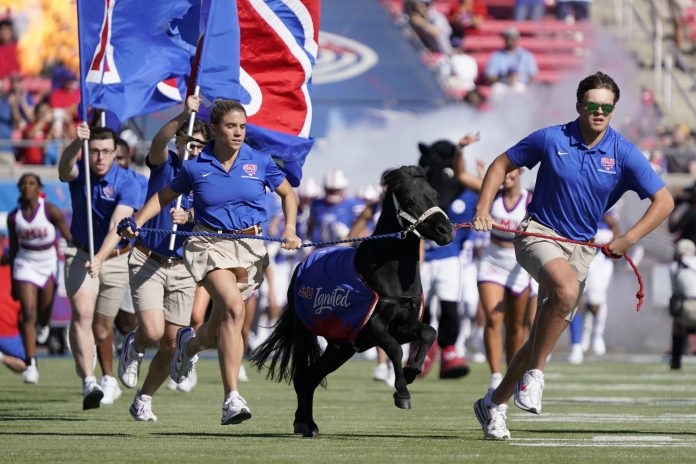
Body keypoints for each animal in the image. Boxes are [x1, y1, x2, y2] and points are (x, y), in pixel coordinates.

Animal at [253, 167, 454, 438]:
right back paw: (303, 423)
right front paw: (402, 391)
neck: (387, 274)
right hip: (304, 332)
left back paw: (310, 423)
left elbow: (429, 333)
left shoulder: (401, 327)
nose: (446, 230)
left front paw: (412, 371)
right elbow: (394, 348)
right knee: (301, 376)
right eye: (410, 199)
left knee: (312, 376)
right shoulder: (371, 327)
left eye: (434, 194)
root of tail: (301, 265)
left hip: (342, 347)